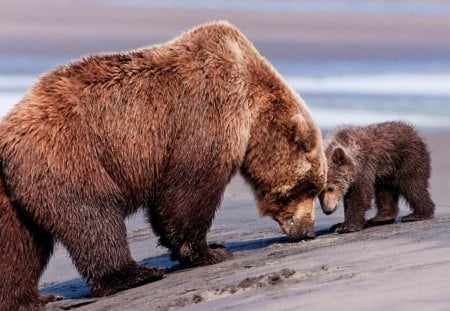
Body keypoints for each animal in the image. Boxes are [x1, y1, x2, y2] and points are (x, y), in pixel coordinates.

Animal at [0, 20, 324, 310]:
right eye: (309, 187)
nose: (307, 230)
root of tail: (8, 133)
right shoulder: (207, 114)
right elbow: (187, 190)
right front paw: (210, 250)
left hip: (15, 193)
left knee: (19, 247)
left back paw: (34, 299)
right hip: (69, 156)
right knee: (93, 215)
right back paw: (134, 274)